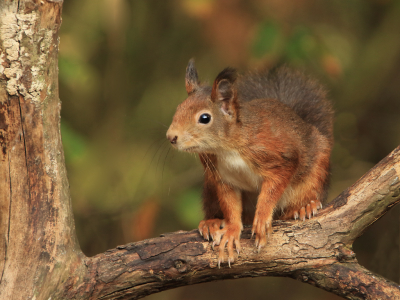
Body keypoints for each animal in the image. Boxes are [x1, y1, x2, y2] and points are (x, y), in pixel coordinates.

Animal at [166, 59, 334, 266]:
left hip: (315, 172)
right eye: (178, 108)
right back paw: (212, 222)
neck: (227, 148)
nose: (171, 137)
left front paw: (261, 218)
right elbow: (230, 206)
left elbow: (272, 191)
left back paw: (304, 206)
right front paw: (231, 231)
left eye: (204, 118)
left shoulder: (278, 157)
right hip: (209, 186)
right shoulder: (221, 177)